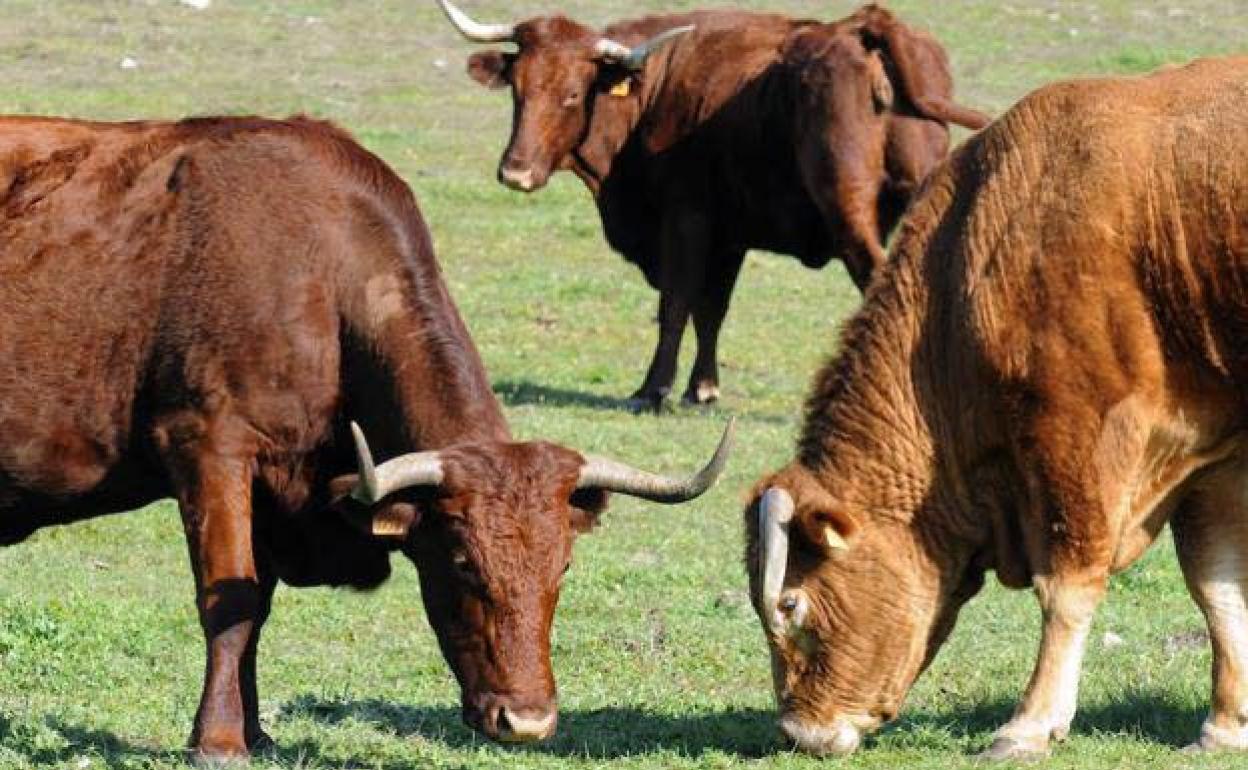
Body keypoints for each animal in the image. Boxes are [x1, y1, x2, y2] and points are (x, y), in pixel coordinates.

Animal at [0, 114, 733, 763]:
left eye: (564, 568)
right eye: (461, 562)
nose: (526, 720)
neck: (319, 274)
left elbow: (258, 609)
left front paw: (258, 732)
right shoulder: (209, 449)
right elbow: (230, 601)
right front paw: (219, 741)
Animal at [440, 0, 989, 411]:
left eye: (573, 94)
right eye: (517, 89)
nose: (515, 172)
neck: (652, 91)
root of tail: (865, 28)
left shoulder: (685, 221)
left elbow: (677, 303)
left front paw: (653, 389)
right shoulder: (728, 236)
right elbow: (712, 310)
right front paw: (702, 389)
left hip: (848, 213)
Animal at [744, 56, 1248, 758]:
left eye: (790, 605)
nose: (799, 732)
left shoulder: (1072, 438)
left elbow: (1066, 587)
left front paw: (1028, 724)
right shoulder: (1208, 450)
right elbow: (1217, 585)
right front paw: (1226, 725)